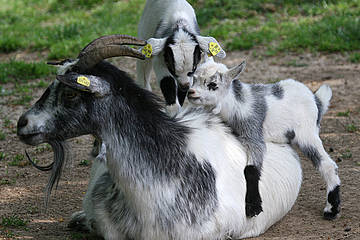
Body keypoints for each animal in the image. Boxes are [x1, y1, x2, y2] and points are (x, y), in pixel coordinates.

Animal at [187, 59, 342, 219]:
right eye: (194, 78)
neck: (236, 105)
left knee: (328, 165)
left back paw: (331, 209)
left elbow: (250, 169)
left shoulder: (253, 134)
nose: (190, 92)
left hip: (307, 133)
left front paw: (253, 206)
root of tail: (316, 100)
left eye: (213, 84)